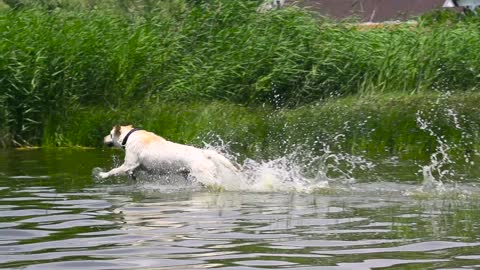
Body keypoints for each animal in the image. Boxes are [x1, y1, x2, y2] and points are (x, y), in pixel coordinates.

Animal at [97, 125, 240, 186]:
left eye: (110, 134)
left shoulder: (129, 163)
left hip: (205, 177)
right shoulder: (137, 166)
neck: (129, 136)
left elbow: (113, 171)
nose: (103, 138)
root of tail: (204, 153)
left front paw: (102, 174)